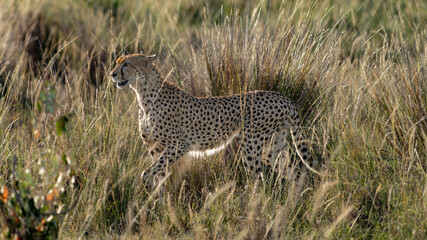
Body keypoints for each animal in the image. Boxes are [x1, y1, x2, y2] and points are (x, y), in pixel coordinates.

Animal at [110, 54, 318, 191]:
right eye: (117, 62)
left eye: (126, 64)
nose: (112, 74)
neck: (143, 95)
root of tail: (283, 97)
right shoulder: (156, 148)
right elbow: (159, 176)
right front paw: (158, 210)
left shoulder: (179, 145)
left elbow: (148, 173)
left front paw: (150, 191)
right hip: (273, 148)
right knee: (293, 172)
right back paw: (294, 202)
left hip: (251, 143)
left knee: (257, 179)